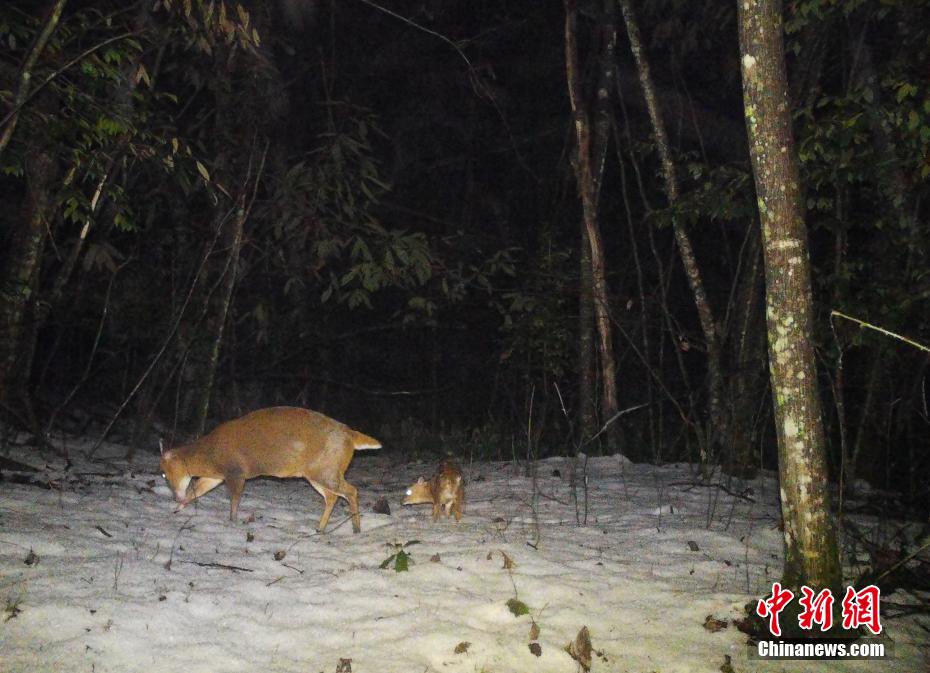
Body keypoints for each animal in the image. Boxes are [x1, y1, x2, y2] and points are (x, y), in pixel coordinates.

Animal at [160, 406, 380, 532]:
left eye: (166, 474)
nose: (175, 498)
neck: (209, 455)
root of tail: (350, 435)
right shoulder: (217, 476)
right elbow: (198, 489)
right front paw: (177, 508)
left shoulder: (235, 471)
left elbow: (234, 499)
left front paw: (233, 521)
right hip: (318, 472)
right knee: (332, 496)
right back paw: (320, 528)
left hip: (326, 470)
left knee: (351, 491)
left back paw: (356, 528)